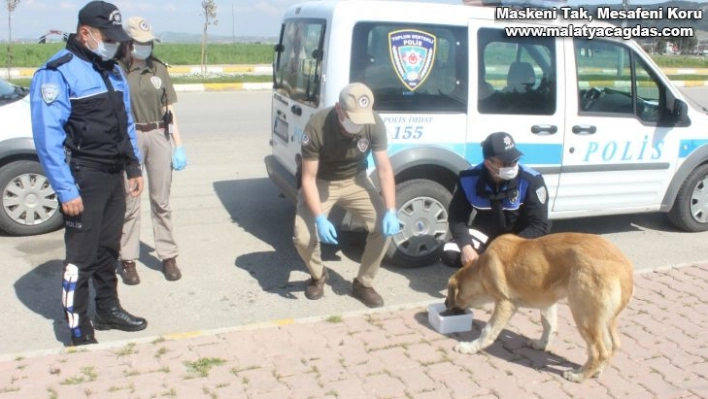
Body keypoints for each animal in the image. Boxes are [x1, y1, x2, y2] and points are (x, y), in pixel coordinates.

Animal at [446, 233, 632, 382]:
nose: (446, 305)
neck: (481, 267)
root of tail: (626, 267)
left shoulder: (505, 303)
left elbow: (488, 331)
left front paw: (470, 347)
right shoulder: (547, 301)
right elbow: (549, 325)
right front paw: (542, 344)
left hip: (584, 314)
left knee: (600, 352)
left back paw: (579, 375)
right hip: (604, 319)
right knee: (613, 345)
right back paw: (597, 371)